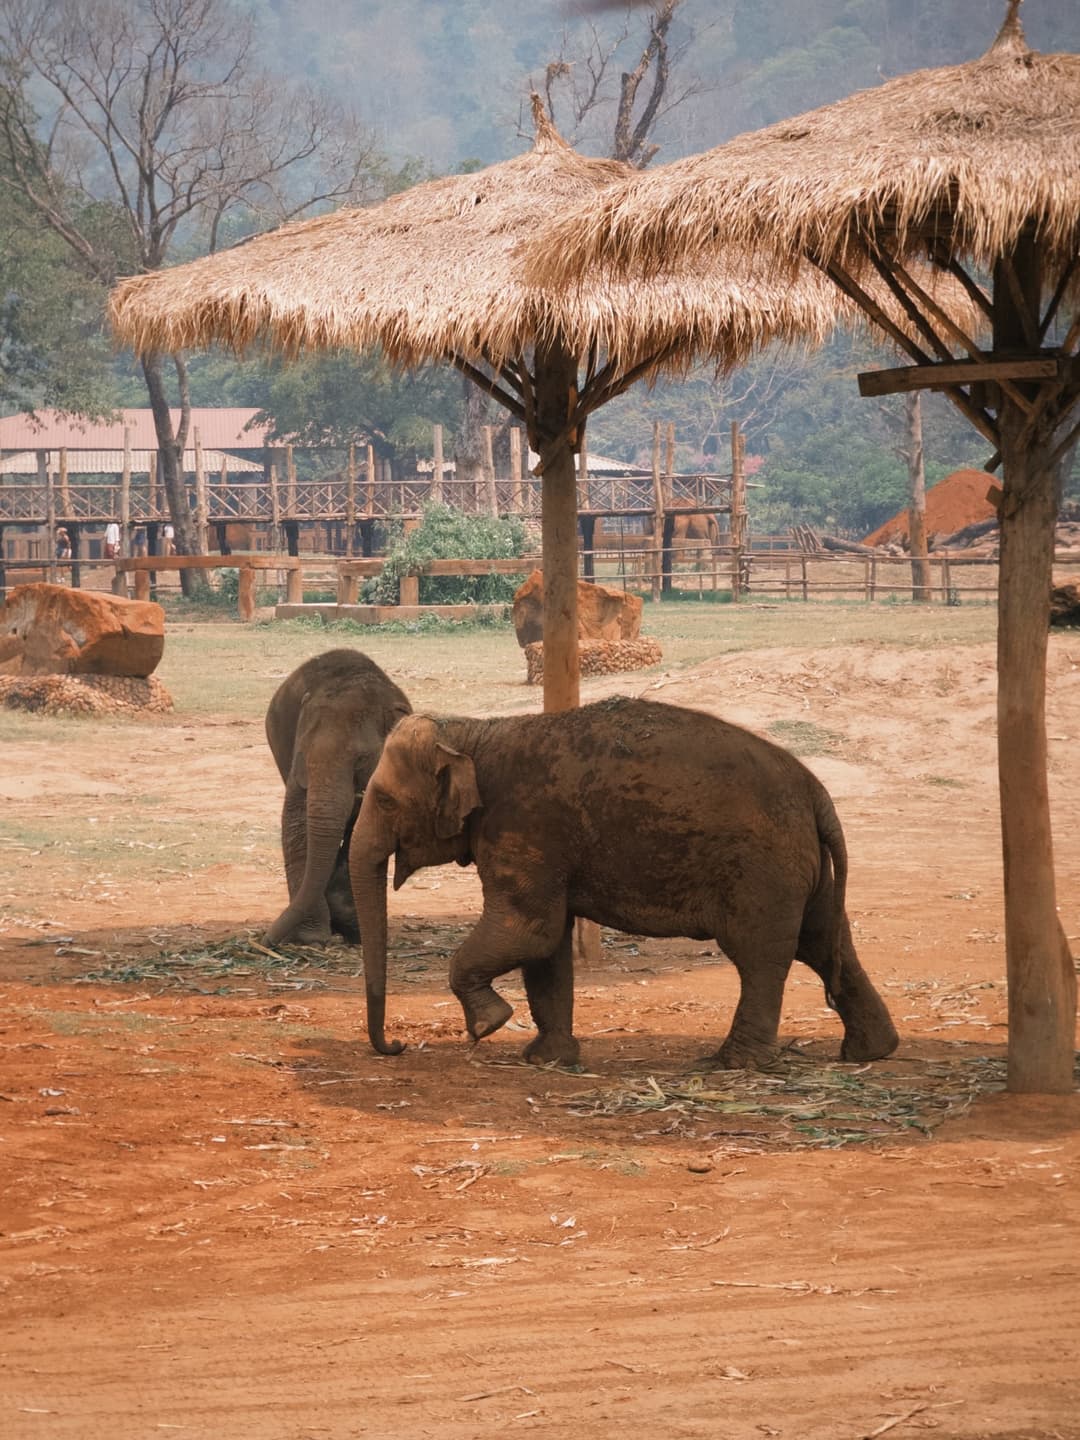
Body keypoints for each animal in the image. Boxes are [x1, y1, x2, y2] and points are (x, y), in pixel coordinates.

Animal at [264, 648, 411, 947]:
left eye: (361, 759)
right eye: (303, 753)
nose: (266, 940)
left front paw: (352, 930)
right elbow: (296, 821)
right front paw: (311, 937)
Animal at [348, 695, 899, 1069]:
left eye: (385, 801)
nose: (395, 1045)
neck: (476, 732)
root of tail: (814, 789)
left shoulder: (524, 826)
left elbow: (529, 931)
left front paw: (489, 1024)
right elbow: (546, 947)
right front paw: (548, 1059)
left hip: (762, 870)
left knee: (761, 956)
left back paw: (732, 1063)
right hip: (801, 869)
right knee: (823, 940)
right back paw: (871, 1052)